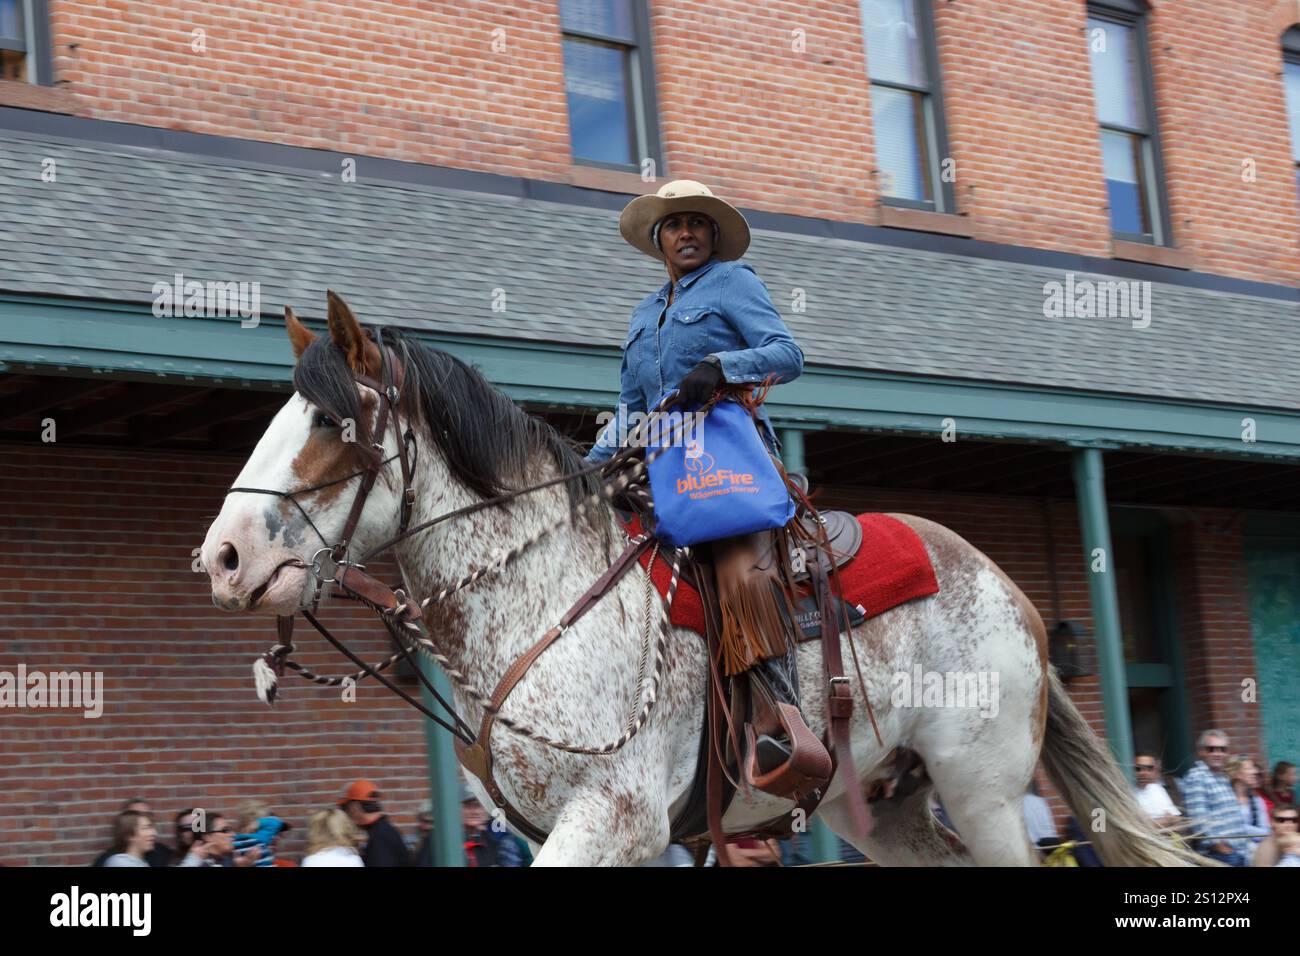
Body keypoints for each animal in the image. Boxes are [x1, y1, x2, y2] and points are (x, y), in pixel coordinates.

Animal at [197, 293, 1201, 868]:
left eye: (331, 423)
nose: (223, 556)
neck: (543, 604)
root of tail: (1008, 588)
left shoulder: (615, 817)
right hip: (882, 807)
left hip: (984, 788)